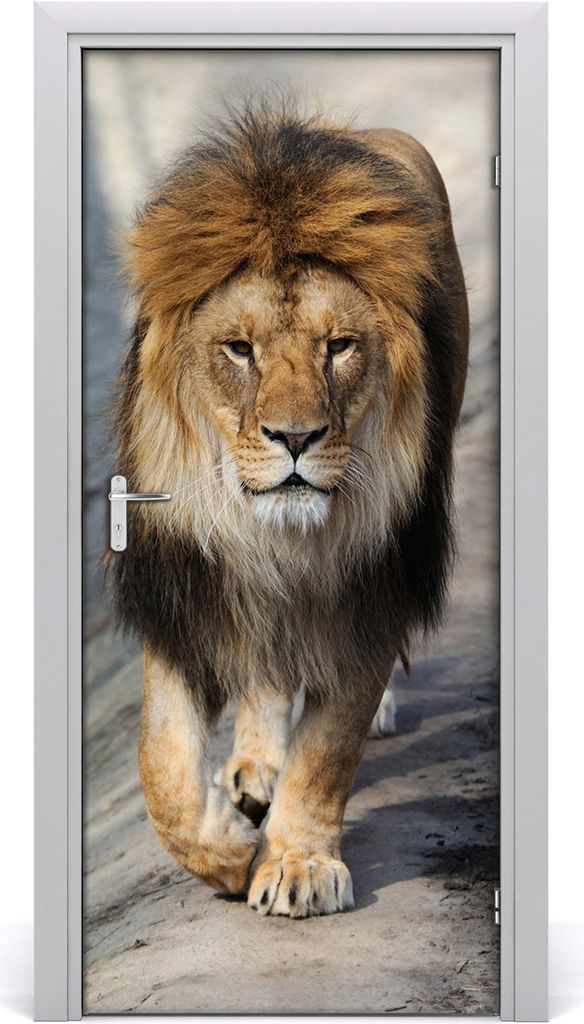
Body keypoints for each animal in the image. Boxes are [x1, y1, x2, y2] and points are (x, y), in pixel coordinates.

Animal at [107, 106, 468, 918]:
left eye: (340, 346)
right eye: (239, 349)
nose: (297, 437)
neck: (287, 540)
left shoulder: (373, 588)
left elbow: (329, 748)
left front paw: (299, 863)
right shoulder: (188, 585)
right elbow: (161, 766)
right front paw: (229, 852)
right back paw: (252, 770)